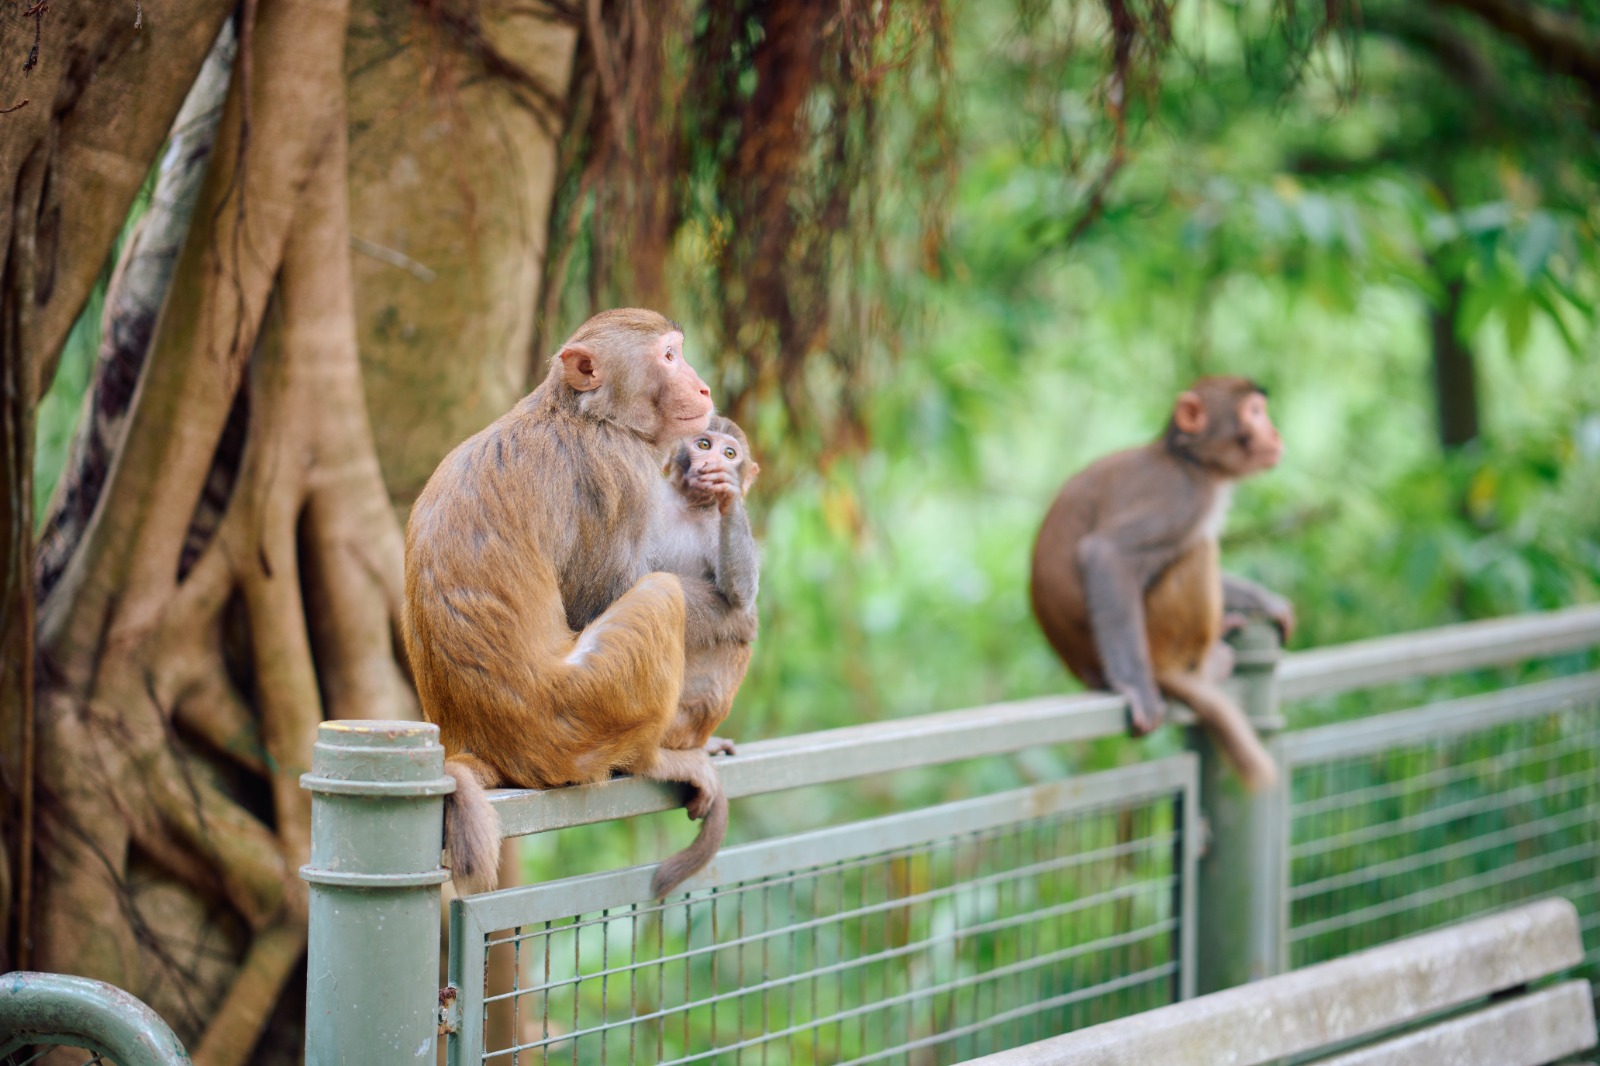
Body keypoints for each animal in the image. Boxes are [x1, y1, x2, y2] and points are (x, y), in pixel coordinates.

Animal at [403, 308, 716, 896]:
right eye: (669, 357)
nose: (704, 386)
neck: (584, 413)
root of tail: (481, 744)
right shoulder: (618, 470)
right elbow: (599, 598)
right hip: (584, 711)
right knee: (660, 594)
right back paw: (656, 759)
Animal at [1030, 376, 1292, 787]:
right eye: (1253, 412)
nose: (1275, 433)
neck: (1188, 461)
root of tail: (1085, 670)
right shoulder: (1183, 497)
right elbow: (1107, 555)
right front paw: (1134, 686)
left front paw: (1264, 601)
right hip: (1160, 635)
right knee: (1200, 549)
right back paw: (1202, 663)